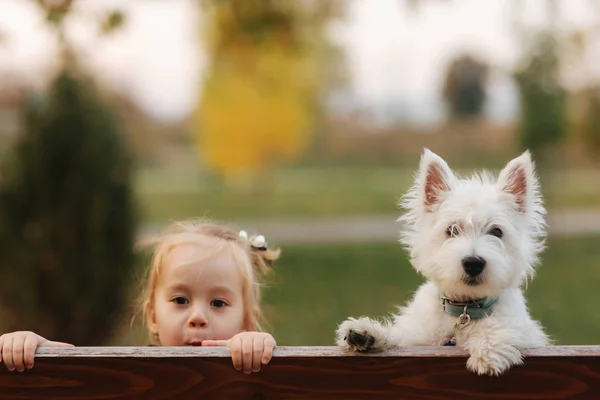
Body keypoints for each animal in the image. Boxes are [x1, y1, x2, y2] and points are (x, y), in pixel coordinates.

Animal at [336, 149, 552, 376]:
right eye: (452, 230)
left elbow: (503, 326)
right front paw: (366, 334)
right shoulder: (416, 339)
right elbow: (399, 338)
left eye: (496, 231)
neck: (463, 311)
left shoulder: (525, 331)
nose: (473, 263)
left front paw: (489, 349)